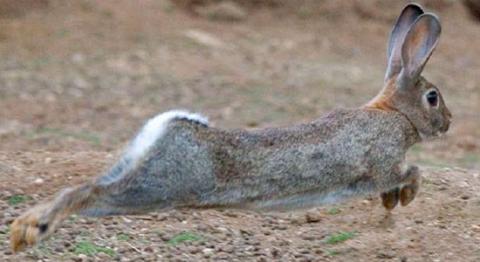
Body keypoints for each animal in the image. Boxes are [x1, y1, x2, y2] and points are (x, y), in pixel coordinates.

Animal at [12, 2, 454, 252]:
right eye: (433, 97)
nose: (449, 122)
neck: (393, 113)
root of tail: (165, 129)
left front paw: (392, 204)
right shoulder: (382, 161)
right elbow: (410, 171)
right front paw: (404, 198)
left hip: (136, 175)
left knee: (82, 187)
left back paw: (24, 227)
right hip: (158, 187)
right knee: (87, 192)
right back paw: (35, 230)